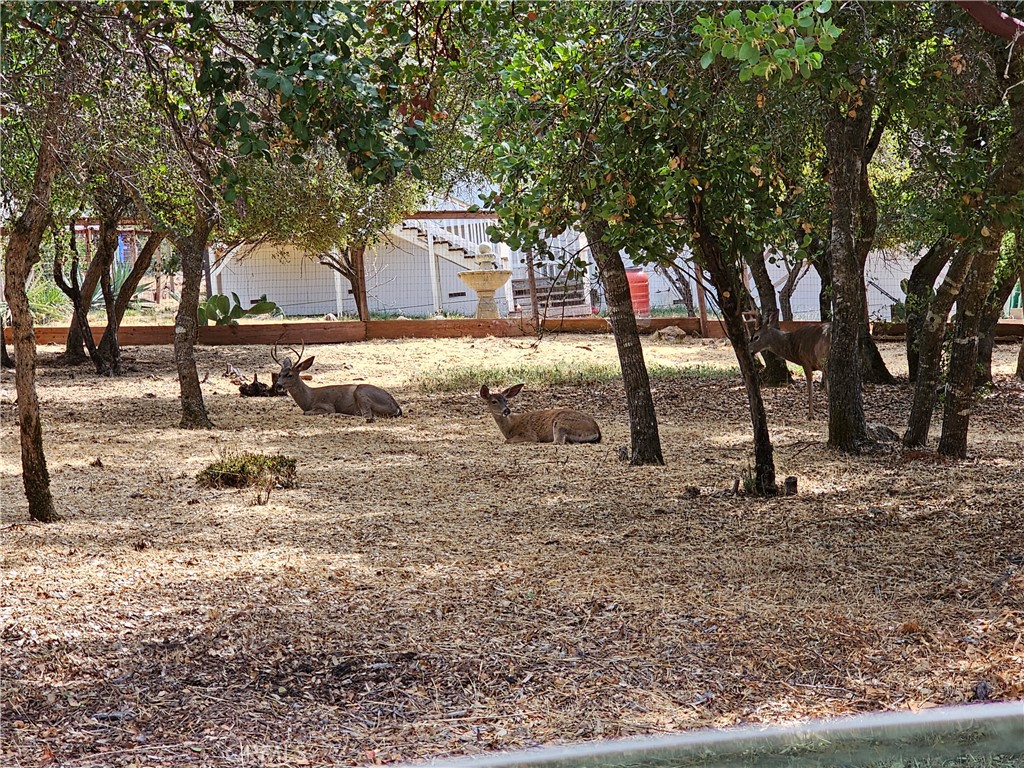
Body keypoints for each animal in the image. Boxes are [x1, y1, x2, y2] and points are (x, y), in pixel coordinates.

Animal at [272, 346, 403, 423]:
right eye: (279, 374)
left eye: (290, 375)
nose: (278, 385)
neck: (309, 398)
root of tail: (396, 407)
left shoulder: (326, 405)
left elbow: (306, 412)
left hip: (361, 391)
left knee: (367, 416)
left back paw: (339, 414)